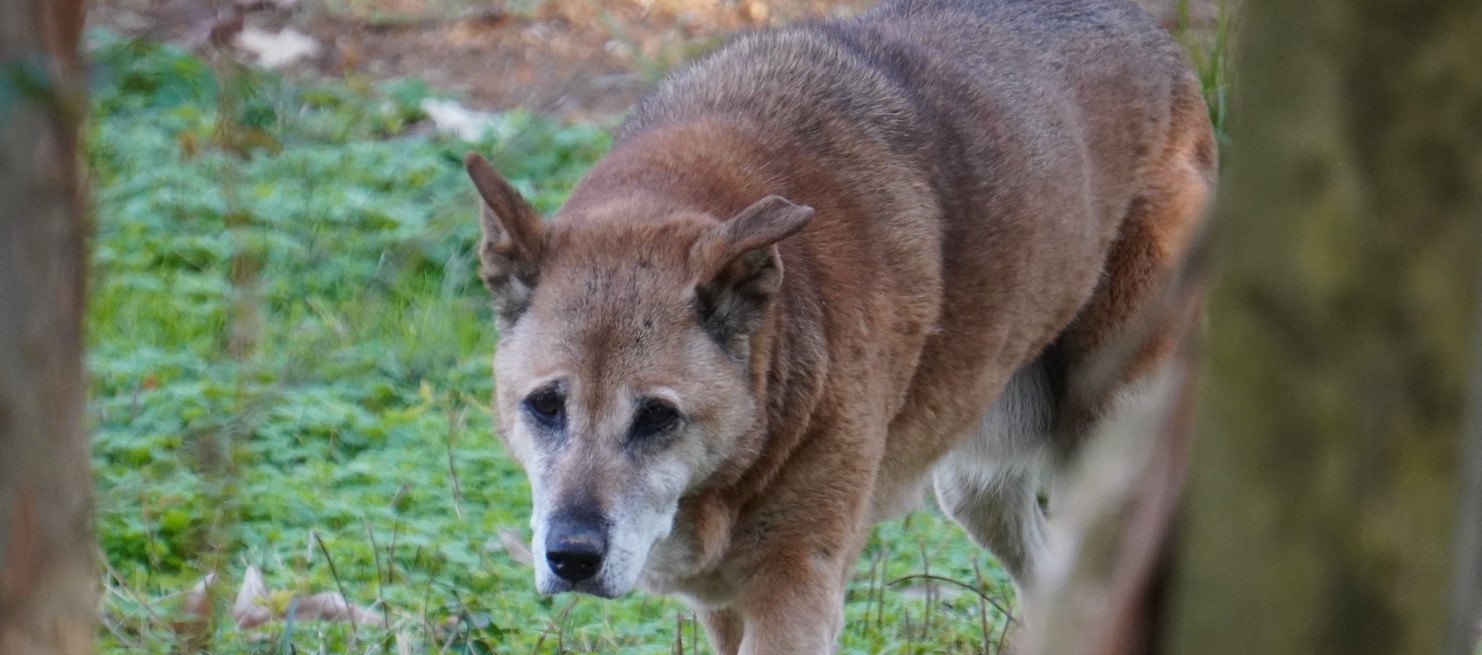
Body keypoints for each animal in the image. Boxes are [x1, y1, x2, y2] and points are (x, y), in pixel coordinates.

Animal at [465, 0, 1215, 649]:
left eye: (656, 416)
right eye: (545, 405)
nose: (572, 556)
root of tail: (1156, 39)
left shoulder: (796, 585)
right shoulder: (724, 603)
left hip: (1111, 443)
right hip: (974, 482)